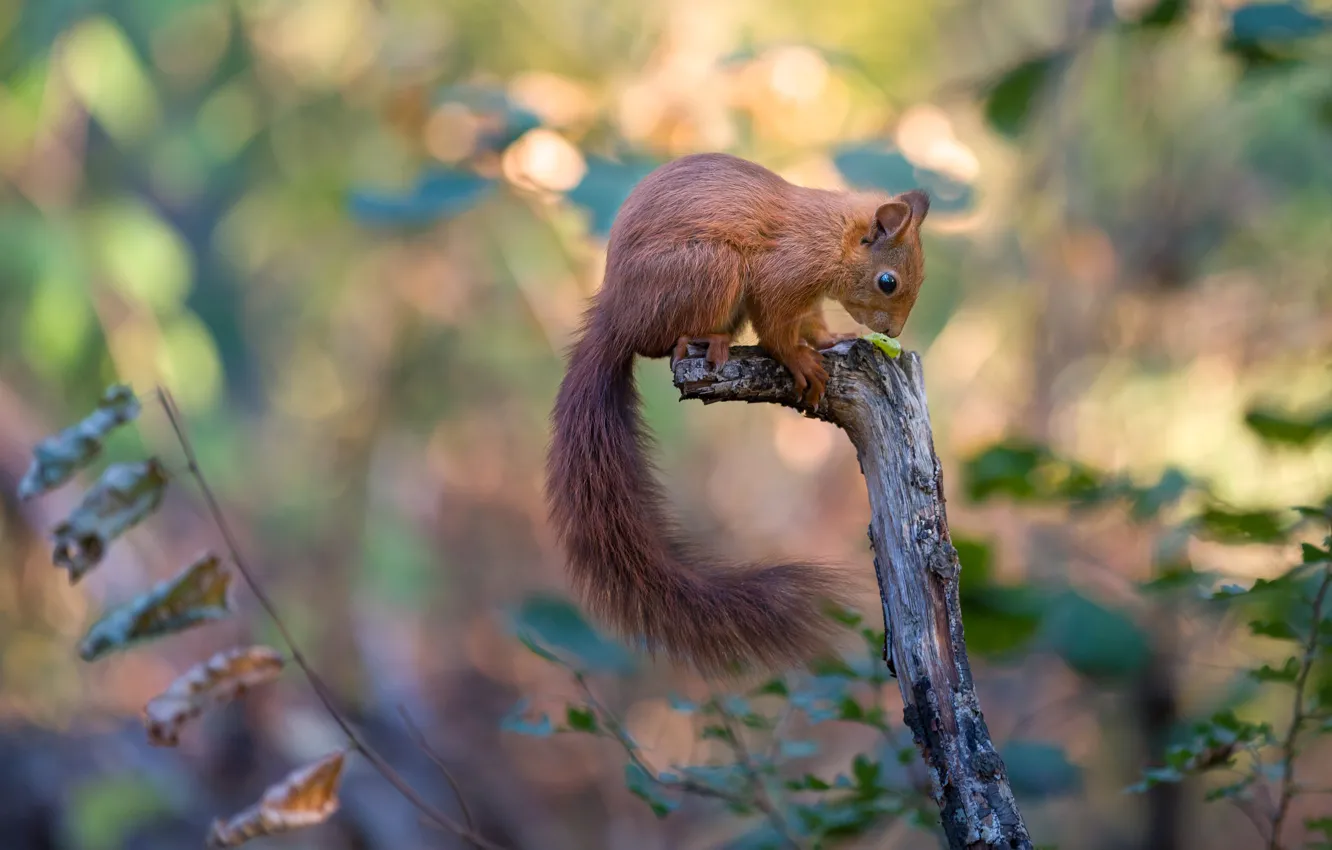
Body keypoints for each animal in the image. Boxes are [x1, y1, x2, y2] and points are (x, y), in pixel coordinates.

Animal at [546, 152, 930, 674]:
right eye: (887, 281)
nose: (891, 332)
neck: (830, 237)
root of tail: (616, 317)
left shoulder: (807, 296)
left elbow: (810, 322)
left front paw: (828, 340)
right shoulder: (783, 273)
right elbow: (776, 328)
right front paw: (800, 361)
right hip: (712, 268)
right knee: (658, 343)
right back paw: (704, 339)